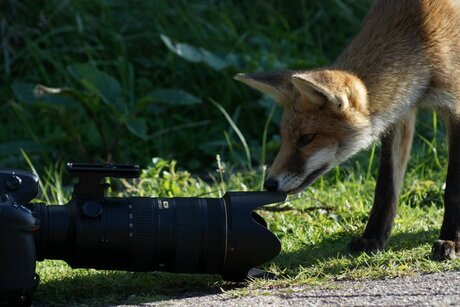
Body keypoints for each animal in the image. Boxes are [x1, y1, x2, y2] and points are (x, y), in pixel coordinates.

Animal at [235, 0, 460, 262]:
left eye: (307, 138)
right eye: (285, 138)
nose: (269, 184)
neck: (422, 37)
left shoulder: (454, 108)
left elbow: (452, 190)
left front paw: (451, 240)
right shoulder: (400, 114)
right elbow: (385, 188)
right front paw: (373, 238)